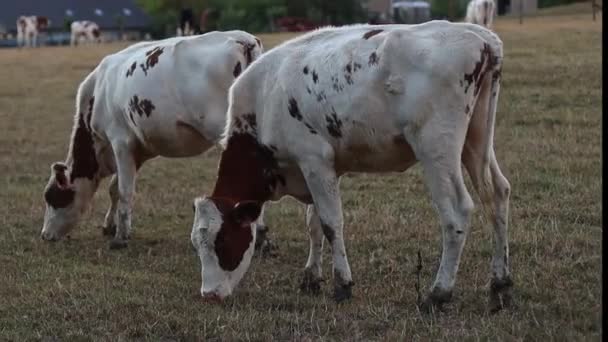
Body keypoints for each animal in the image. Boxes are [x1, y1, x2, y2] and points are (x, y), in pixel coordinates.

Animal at [39, 31, 264, 251]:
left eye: (51, 197)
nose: (44, 235)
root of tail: (243, 40)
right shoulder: (138, 149)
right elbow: (114, 188)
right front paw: (110, 226)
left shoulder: (121, 142)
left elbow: (124, 191)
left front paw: (120, 237)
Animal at [191, 19, 512, 312]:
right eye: (197, 244)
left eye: (222, 241)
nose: (209, 295)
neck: (265, 96)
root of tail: (480, 37)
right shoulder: (320, 168)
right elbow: (314, 223)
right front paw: (311, 277)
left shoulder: (314, 161)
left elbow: (331, 224)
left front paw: (342, 284)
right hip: (476, 141)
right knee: (497, 194)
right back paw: (500, 284)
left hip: (436, 148)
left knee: (456, 214)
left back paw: (439, 292)